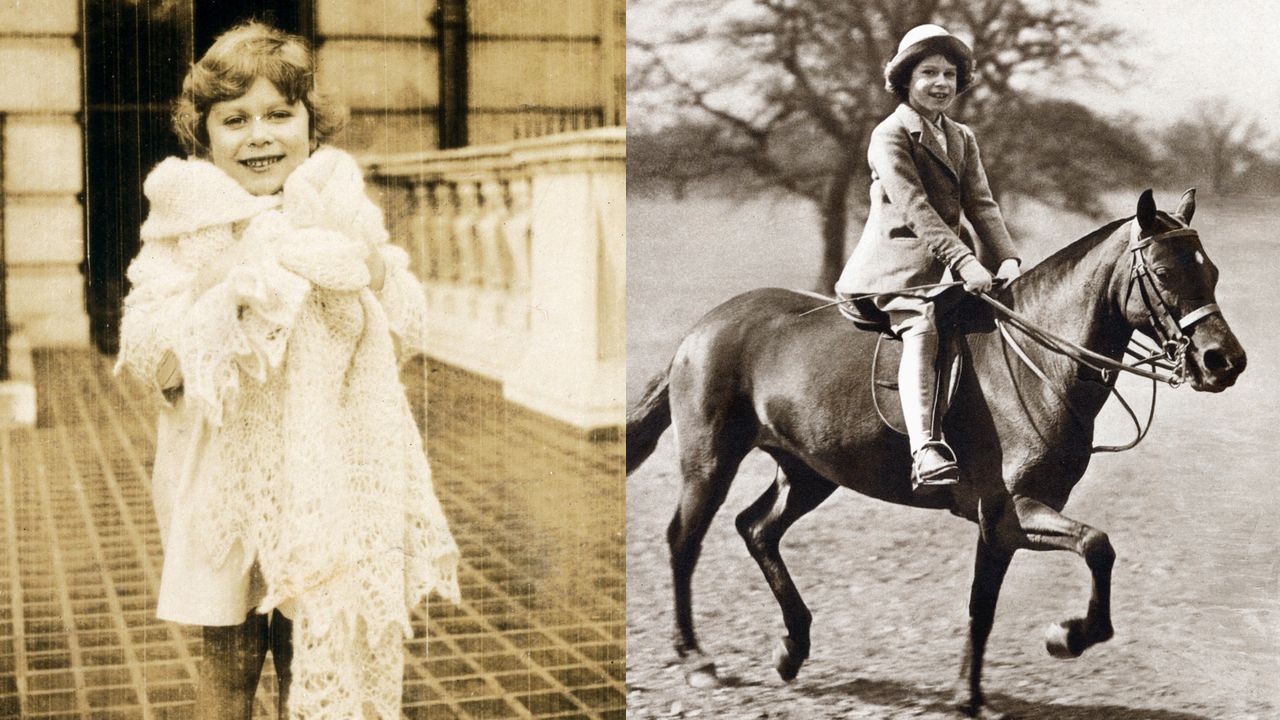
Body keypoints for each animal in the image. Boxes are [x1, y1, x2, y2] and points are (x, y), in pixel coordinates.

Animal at [624, 189, 1244, 712]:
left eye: (1210, 270)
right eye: (1163, 272)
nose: (1225, 362)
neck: (1036, 364)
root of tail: (702, 328)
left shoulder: (1008, 523)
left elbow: (1002, 597)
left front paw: (986, 683)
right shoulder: (1010, 512)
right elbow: (1086, 551)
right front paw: (1058, 641)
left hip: (808, 471)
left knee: (757, 529)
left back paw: (791, 649)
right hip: (711, 462)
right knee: (685, 541)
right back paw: (696, 659)